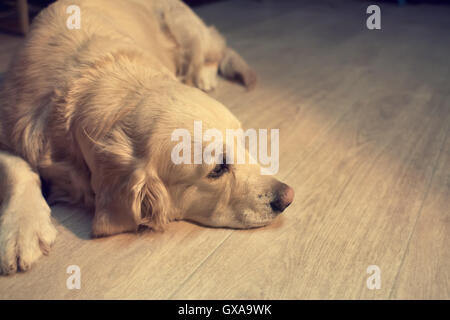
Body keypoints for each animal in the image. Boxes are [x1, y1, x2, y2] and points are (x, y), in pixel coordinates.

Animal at [0, 0, 294, 276]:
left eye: (243, 143)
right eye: (217, 169)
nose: (287, 197)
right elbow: (18, 168)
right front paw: (22, 229)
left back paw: (203, 75)